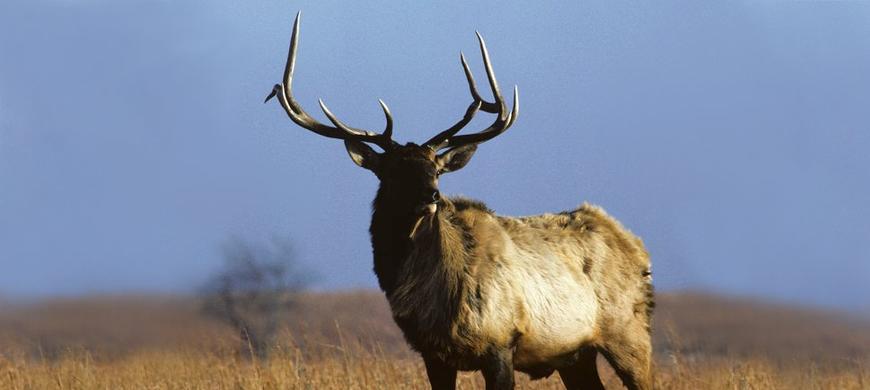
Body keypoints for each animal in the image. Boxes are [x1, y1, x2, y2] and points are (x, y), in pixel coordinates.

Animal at [264, 12, 656, 390]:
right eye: (392, 171)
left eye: (437, 170)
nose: (431, 196)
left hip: (630, 334)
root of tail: (637, 247)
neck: (433, 301)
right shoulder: (433, 355)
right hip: (574, 354)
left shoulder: (500, 343)